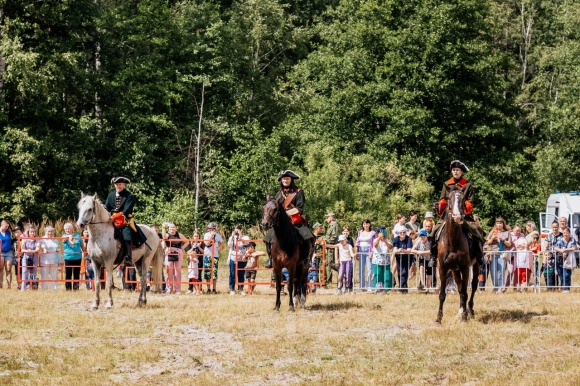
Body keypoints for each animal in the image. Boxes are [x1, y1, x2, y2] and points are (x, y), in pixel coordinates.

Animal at [436, 187, 480, 322]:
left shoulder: (465, 268)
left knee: (473, 286)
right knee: (460, 287)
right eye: (449, 198)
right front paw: (438, 319)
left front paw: (464, 318)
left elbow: (465, 293)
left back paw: (470, 310)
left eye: (463, 199)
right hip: (455, 270)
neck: (452, 241)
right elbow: (442, 294)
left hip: (476, 264)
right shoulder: (443, 268)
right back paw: (460, 311)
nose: (457, 216)